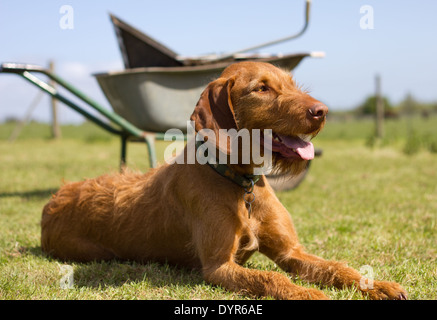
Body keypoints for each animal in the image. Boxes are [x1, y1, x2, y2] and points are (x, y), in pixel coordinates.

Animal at [41, 62, 406, 300]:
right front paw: (309, 295)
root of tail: (55, 198)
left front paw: (378, 285)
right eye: (261, 88)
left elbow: (338, 268)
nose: (322, 111)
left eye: (291, 83)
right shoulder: (218, 267)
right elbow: (271, 278)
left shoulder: (292, 253)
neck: (241, 184)